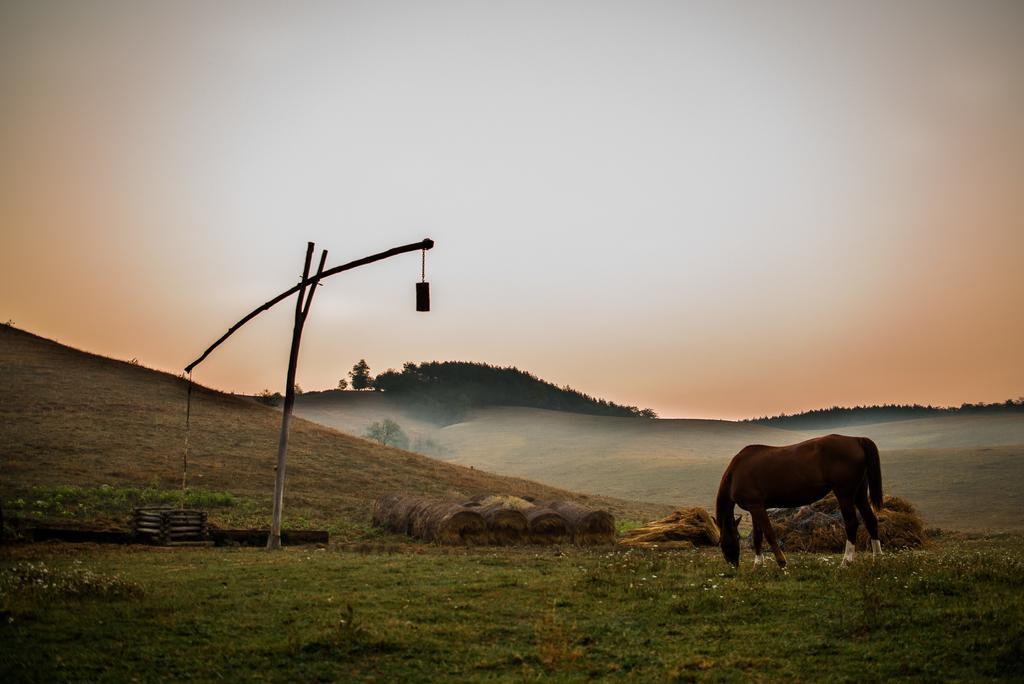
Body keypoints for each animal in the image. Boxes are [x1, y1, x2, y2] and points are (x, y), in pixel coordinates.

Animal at [716, 436, 884, 569]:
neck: (736, 472)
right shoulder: (755, 508)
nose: (733, 563)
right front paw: (757, 565)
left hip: (845, 494)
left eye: (722, 540)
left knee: (851, 523)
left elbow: (769, 534)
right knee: (870, 520)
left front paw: (782, 564)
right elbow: (758, 537)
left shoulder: (756, 507)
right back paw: (877, 559)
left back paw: (846, 562)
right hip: (859, 494)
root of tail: (856, 439)